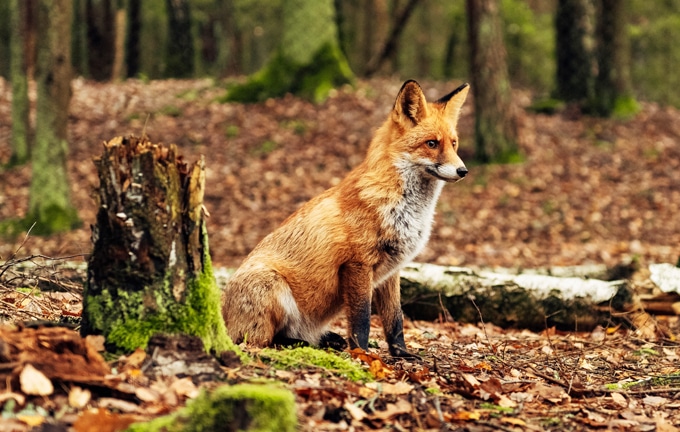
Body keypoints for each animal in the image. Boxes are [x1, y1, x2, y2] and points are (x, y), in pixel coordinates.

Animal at [222, 80, 469, 358]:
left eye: (454, 144)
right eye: (432, 143)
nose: (463, 170)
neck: (405, 210)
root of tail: (223, 318)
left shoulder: (393, 270)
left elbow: (395, 319)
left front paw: (401, 353)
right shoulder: (357, 264)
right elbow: (362, 320)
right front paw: (362, 354)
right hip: (271, 286)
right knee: (259, 341)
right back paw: (298, 344)